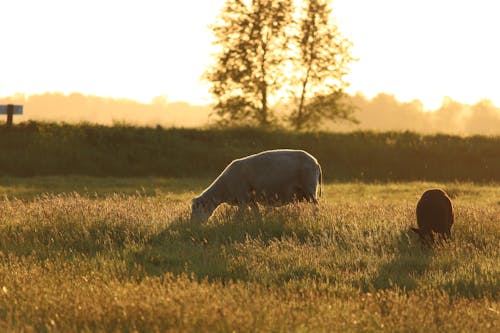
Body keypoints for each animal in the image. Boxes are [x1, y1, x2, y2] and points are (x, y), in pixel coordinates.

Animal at [189, 149, 322, 222]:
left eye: (195, 209)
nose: (193, 225)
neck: (224, 189)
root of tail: (316, 162)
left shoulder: (242, 199)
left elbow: (239, 216)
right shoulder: (250, 200)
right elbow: (257, 214)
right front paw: (259, 223)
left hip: (310, 189)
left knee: (316, 207)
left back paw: (316, 219)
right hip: (302, 193)